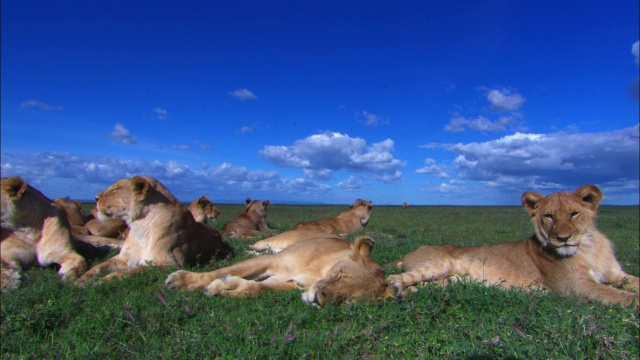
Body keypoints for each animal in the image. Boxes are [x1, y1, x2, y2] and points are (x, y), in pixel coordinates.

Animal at [75, 175, 228, 284]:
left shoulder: (170, 264)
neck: (141, 225)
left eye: (116, 189)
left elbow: (131, 271)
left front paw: (102, 281)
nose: (95, 198)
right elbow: (98, 267)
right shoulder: (123, 258)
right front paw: (81, 280)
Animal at [164, 233, 396, 306]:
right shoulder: (271, 261)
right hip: (272, 245)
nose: (318, 299)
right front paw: (181, 281)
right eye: (340, 275)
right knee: (256, 247)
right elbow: (217, 272)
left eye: (346, 299)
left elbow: (257, 289)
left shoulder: (289, 282)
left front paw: (226, 288)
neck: (317, 275)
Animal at [384, 184, 640, 308]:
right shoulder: (577, 287)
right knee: (394, 278)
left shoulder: (617, 274)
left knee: (422, 286)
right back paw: (396, 290)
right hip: (440, 263)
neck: (588, 248)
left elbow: (631, 284)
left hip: (449, 280)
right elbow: (623, 296)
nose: (563, 238)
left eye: (574, 213)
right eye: (549, 216)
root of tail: (412, 251)